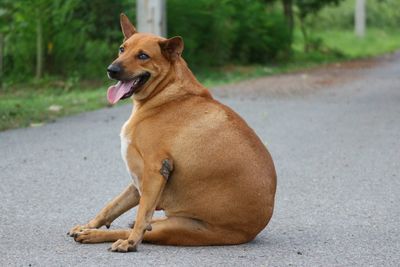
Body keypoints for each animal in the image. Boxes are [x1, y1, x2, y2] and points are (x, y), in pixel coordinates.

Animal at [68, 14, 276, 253]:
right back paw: (91, 231)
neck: (166, 94)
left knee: (140, 228)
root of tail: (253, 230)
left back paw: (106, 237)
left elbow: (141, 216)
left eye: (143, 56)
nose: (111, 69)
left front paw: (130, 242)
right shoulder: (138, 180)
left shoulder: (155, 171)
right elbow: (111, 206)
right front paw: (88, 225)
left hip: (176, 227)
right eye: (122, 49)